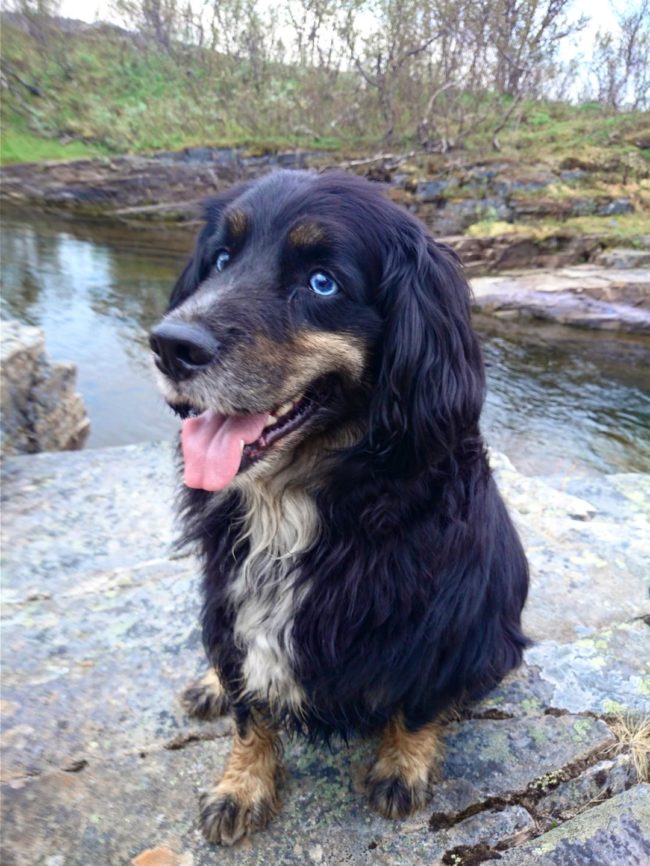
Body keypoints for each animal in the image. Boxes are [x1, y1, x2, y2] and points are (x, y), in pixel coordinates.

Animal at [149, 169, 528, 844]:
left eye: (322, 282)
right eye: (220, 260)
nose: (169, 346)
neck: (294, 504)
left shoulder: (447, 622)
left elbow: (420, 703)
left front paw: (402, 767)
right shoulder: (230, 596)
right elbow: (249, 711)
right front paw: (241, 785)